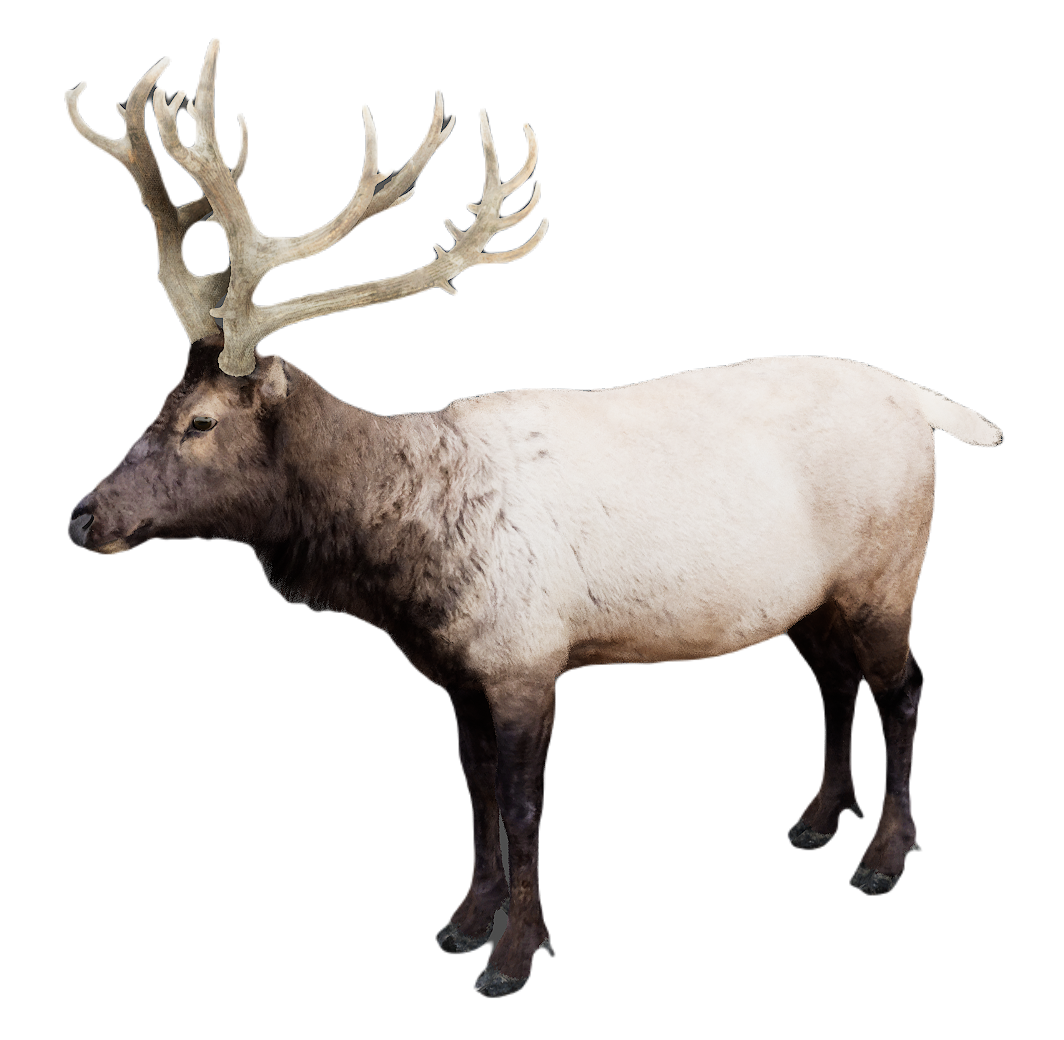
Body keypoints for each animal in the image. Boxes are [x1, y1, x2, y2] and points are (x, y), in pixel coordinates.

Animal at [65, 40, 1002, 998]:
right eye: (161, 402)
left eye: (201, 422)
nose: (84, 516)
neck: (405, 573)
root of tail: (919, 402)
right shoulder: (456, 671)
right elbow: (476, 794)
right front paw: (464, 923)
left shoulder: (528, 654)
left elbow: (521, 805)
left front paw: (516, 954)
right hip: (806, 597)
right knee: (836, 681)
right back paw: (819, 816)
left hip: (888, 572)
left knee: (904, 684)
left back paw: (884, 853)